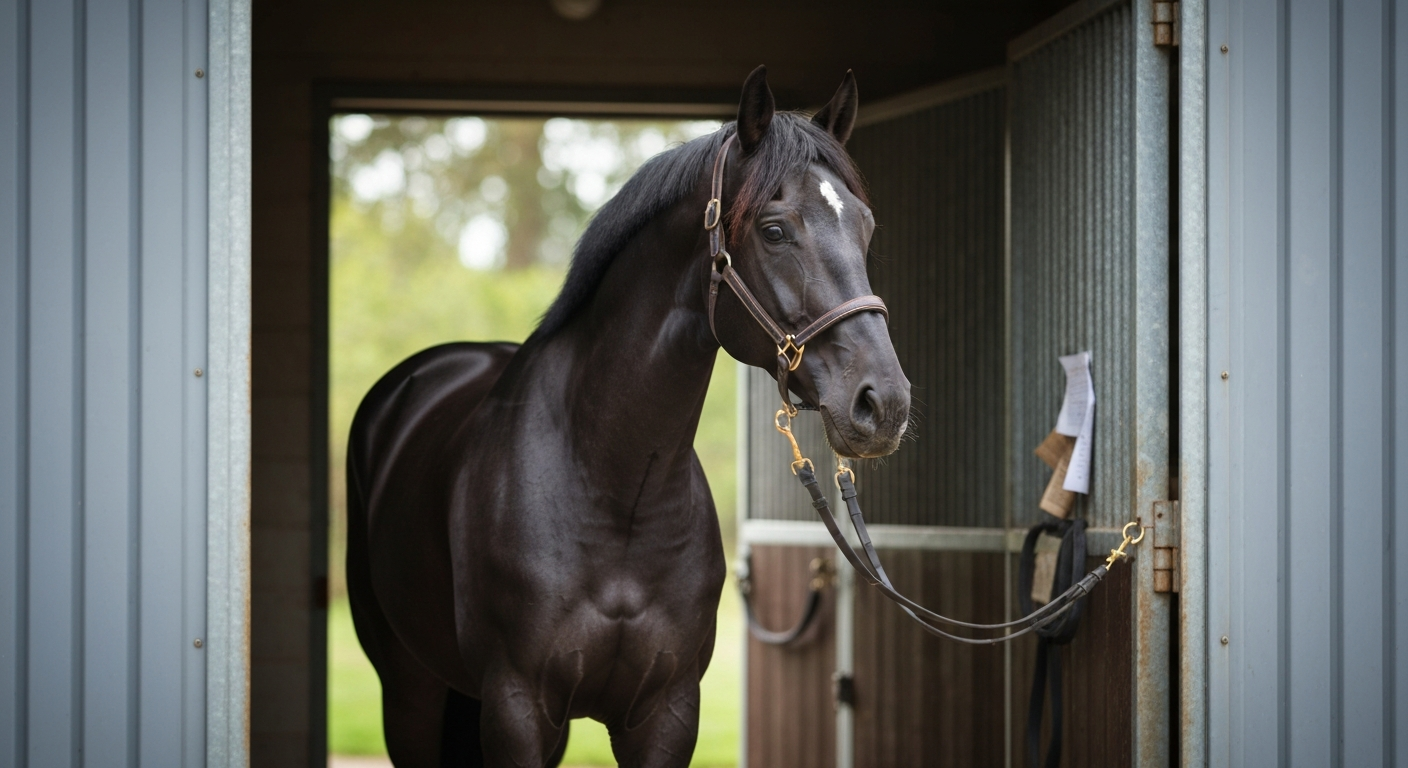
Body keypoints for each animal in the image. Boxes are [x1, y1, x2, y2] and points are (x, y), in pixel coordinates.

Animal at [345, 65, 912, 768]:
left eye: (865, 225)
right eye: (775, 229)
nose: (884, 404)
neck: (617, 489)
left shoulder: (667, 711)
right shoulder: (516, 706)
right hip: (409, 688)